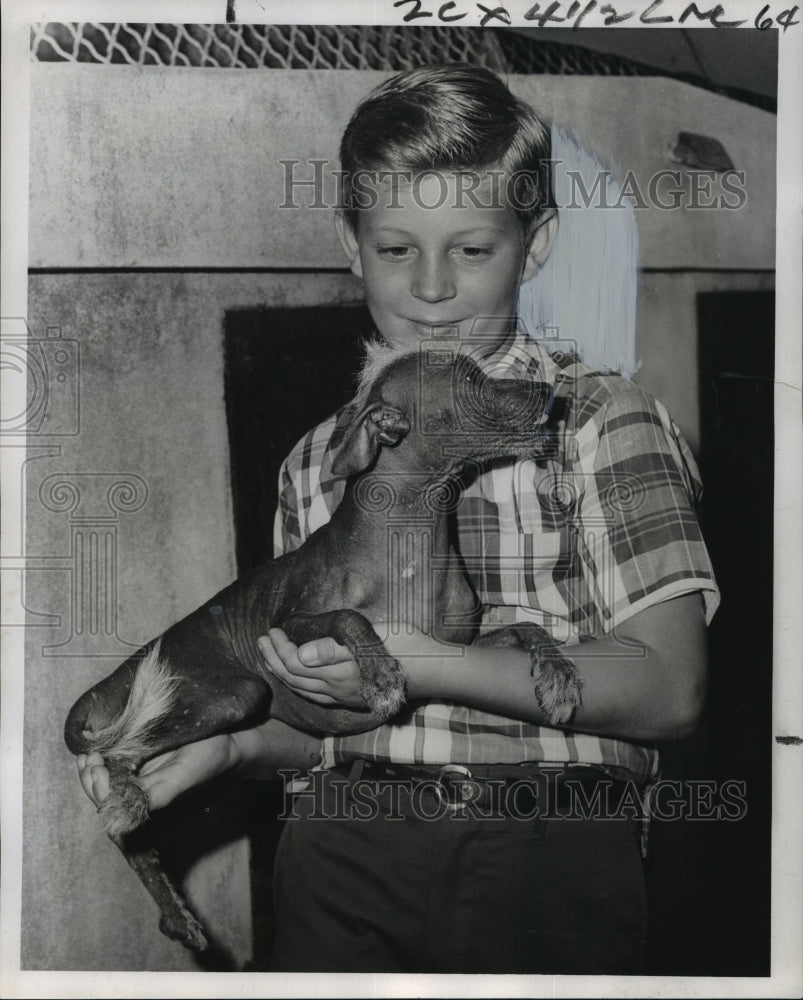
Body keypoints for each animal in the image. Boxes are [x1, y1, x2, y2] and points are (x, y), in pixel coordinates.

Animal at [61, 344, 576, 952]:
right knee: (118, 756)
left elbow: (528, 629)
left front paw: (559, 677)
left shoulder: (459, 646)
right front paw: (380, 676)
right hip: (233, 694)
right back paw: (130, 806)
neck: (412, 532)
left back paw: (174, 909)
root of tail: (135, 660)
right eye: (469, 378)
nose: (549, 388)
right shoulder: (291, 626)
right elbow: (351, 618)